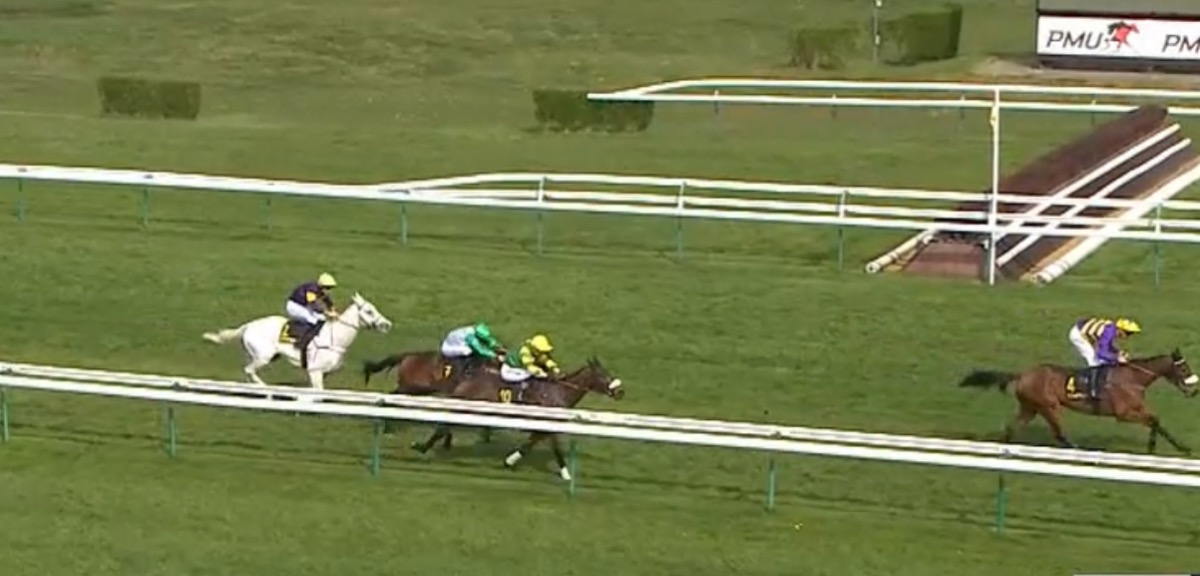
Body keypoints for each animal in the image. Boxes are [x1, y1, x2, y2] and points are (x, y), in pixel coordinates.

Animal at [201, 292, 393, 401]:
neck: (335, 338)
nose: (387, 325)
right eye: (369, 311)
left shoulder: (323, 372)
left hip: (256, 355)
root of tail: (247, 326)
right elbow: (318, 393)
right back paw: (267, 390)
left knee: (248, 373)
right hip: (263, 357)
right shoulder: (315, 371)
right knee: (250, 371)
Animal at [410, 356, 625, 480]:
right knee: (443, 427)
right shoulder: (548, 424)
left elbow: (529, 444)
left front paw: (509, 461)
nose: (620, 392)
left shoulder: (541, 426)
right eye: (604, 375)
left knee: (445, 427)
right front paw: (566, 474)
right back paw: (422, 447)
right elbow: (554, 448)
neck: (558, 391)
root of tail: (466, 378)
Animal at [957, 348, 1198, 455]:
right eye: (1183, 368)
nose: (1194, 390)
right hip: (1049, 406)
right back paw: (1078, 450)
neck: (1132, 378)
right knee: (1059, 433)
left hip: (1030, 407)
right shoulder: (1123, 413)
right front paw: (1156, 446)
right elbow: (1152, 420)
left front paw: (1179, 448)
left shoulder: (1137, 406)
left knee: (1011, 429)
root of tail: (1023, 374)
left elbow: (1156, 420)